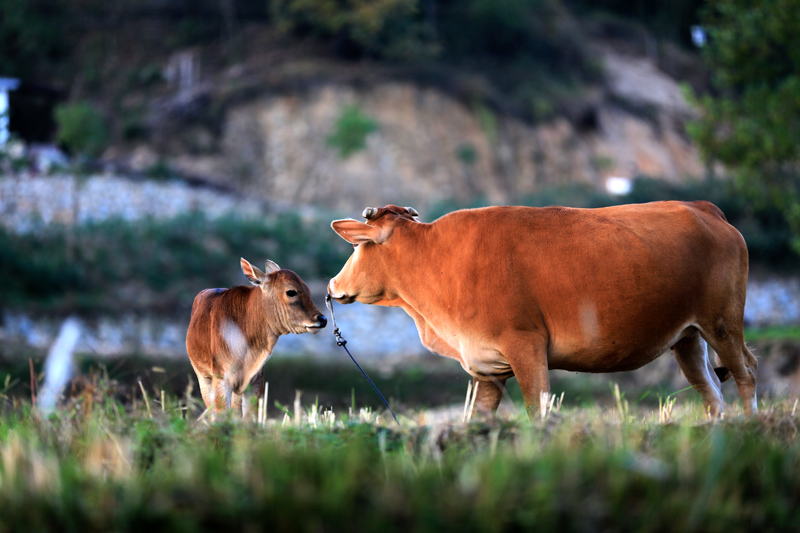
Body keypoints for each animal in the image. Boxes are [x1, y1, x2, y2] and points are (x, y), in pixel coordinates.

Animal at [324, 203, 756, 416]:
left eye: (358, 246)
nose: (331, 286)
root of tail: (704, 208)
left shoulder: (526, 347)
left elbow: (539, 412)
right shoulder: (485, 366)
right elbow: (475, 422)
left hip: (722, 324)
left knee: (746, 374)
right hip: (688, 337)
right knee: (712, 391)